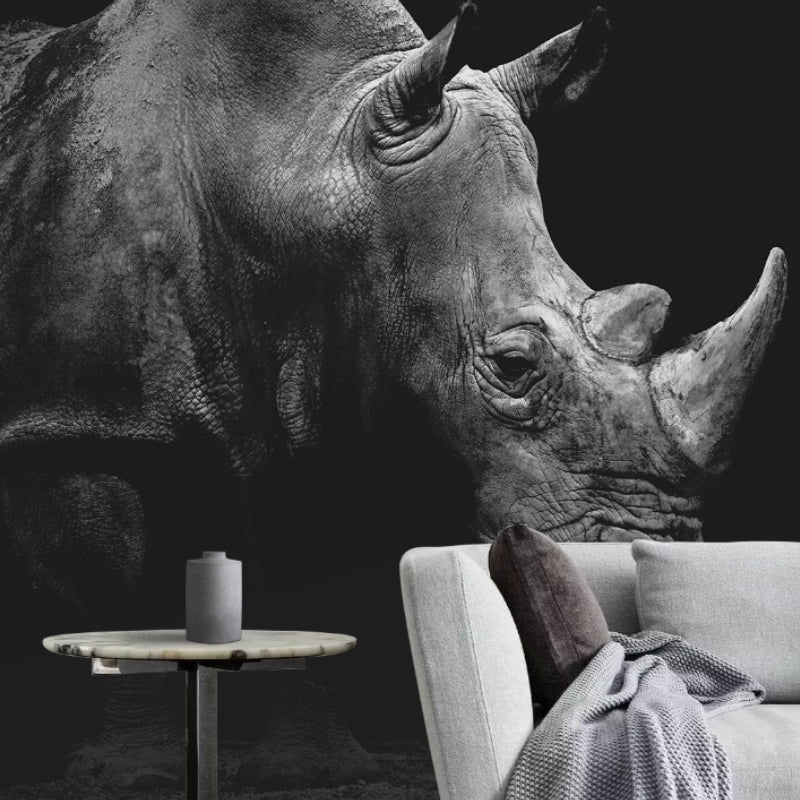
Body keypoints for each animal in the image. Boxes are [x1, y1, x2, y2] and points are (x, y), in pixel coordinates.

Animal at [0, 0, 787, 790]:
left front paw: (316, 771)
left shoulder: (320, 400)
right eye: (512, 366)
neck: (294, 155)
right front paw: (129, 776)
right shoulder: (82, 424)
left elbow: (307, 585)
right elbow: (115, 589)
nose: (653, 543)